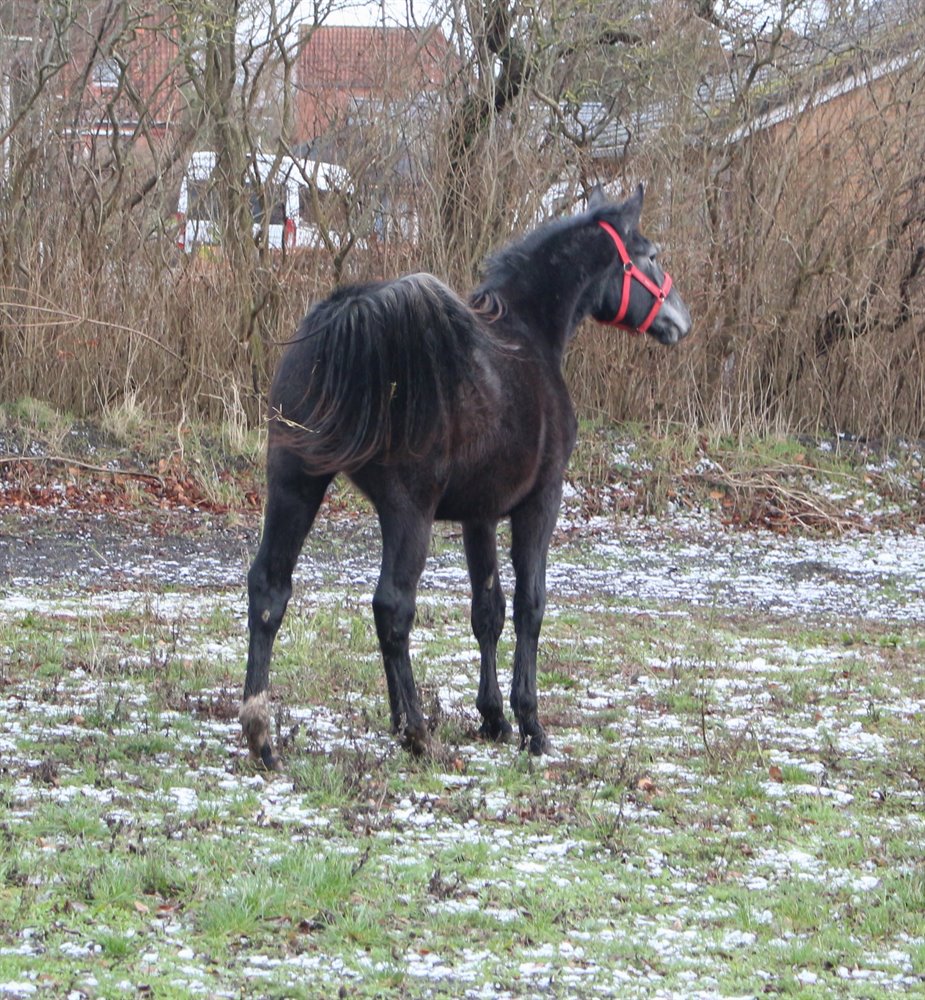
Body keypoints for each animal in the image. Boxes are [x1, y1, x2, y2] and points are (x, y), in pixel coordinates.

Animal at [240, 185, 691, 769]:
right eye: (651, 254)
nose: (680, 319)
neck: (529, 334)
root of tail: (351, 321)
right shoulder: (539, 502)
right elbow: (528, 605)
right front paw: (529, 724)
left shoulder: (480, 515)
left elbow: (487, 611)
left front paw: (492, 718)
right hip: (407, 510)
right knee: (392, 606)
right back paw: (415, 731)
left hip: (293, 483)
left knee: (269, 589)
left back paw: (263, 735)